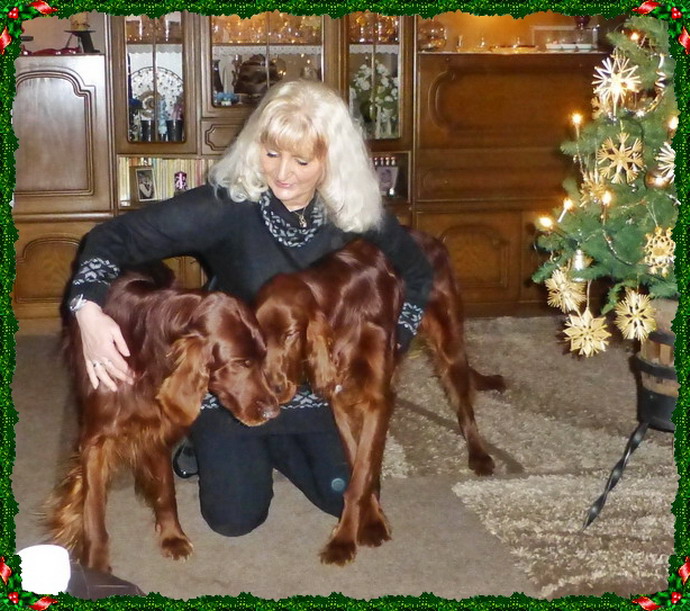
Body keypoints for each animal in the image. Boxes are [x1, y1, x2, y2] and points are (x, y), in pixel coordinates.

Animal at [46, 264, 280, 573]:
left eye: (263, 357)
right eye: (240, 364)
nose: (273, 412)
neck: (144, 353)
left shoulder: (157, 430)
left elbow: (166, 490)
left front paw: (172, 536)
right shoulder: (96, 439)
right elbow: (93, 506)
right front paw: (95, 563)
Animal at [254, 229, 505, 565]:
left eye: (290, 335)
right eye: (259, 339)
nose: (273, 388)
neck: (342, 308)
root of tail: (428, 237)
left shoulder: (378, 398)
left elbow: (360, 474)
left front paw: (345, 539)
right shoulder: (342, 402)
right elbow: (359, 465)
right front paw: (370, 520)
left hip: (449, 342)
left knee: (463, 404)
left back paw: (478, 455)